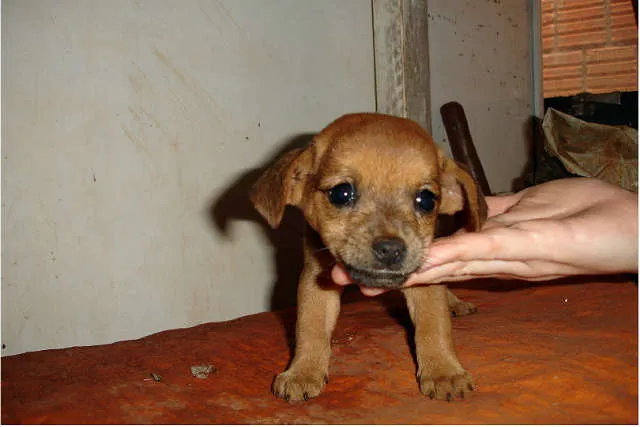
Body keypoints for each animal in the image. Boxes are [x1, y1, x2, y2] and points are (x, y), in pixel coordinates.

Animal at [252, 112, 488, 402]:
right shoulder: (315, 281)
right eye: (341, 193)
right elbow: (310, 327)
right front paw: (303, 371)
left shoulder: (424, 282)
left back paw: (454, 303)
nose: (390, 249)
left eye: (426, 200)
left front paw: (443, 372)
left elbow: (434, 325)